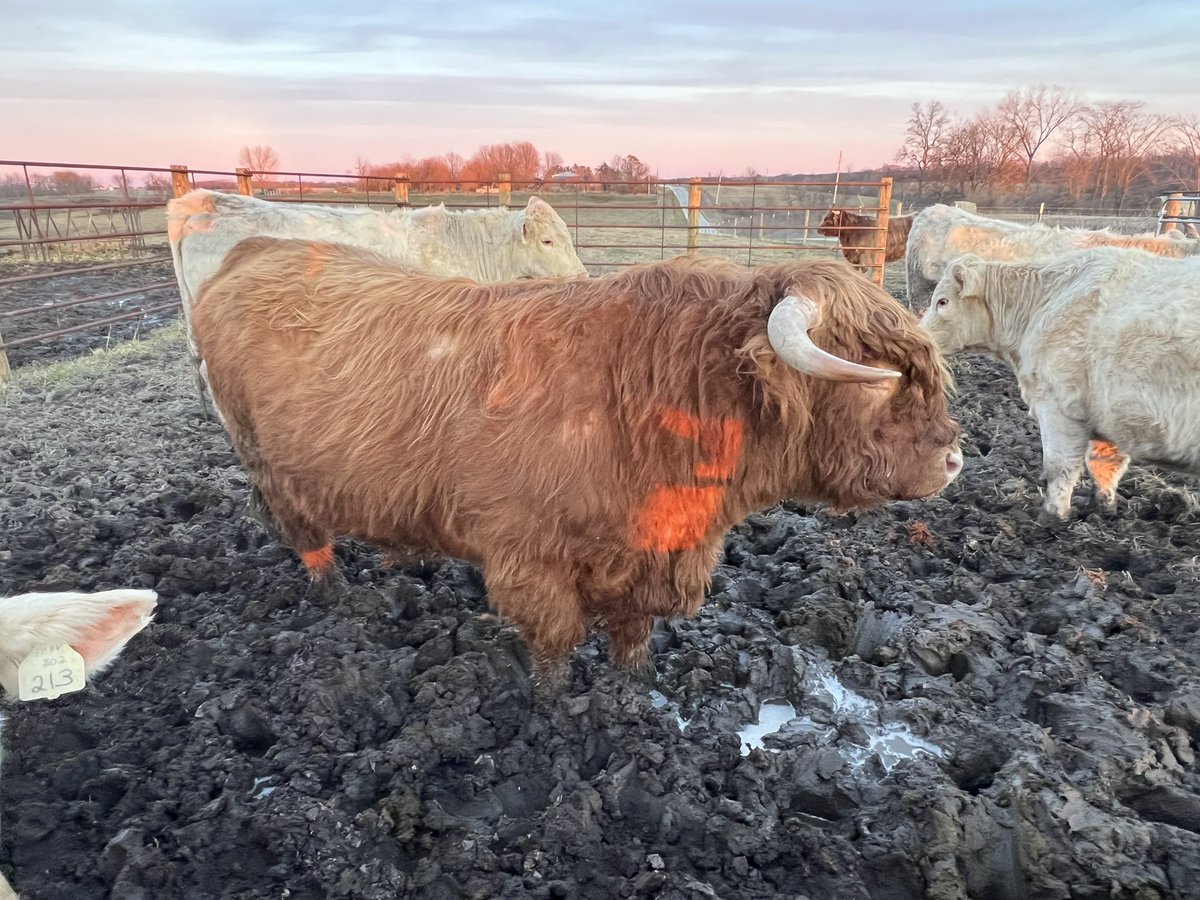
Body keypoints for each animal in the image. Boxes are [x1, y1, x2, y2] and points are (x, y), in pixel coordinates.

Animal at [192, 237, 963, 680]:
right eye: (878, 376)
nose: (955, 460)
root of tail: (252, 248)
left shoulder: (656, 555)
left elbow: (632, 634)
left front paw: (628, 693)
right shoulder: (527, 558)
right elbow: (555, 646)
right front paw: (558, 711)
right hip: (265, 459)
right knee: (300, 529)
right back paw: (336, 593)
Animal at [921, 248, 1200, 518]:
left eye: (942, 301)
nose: (923, 339)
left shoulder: (1057, 405)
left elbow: (1059, 466)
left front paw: (1054, 516)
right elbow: (1105, 464)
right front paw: (1105, 508)